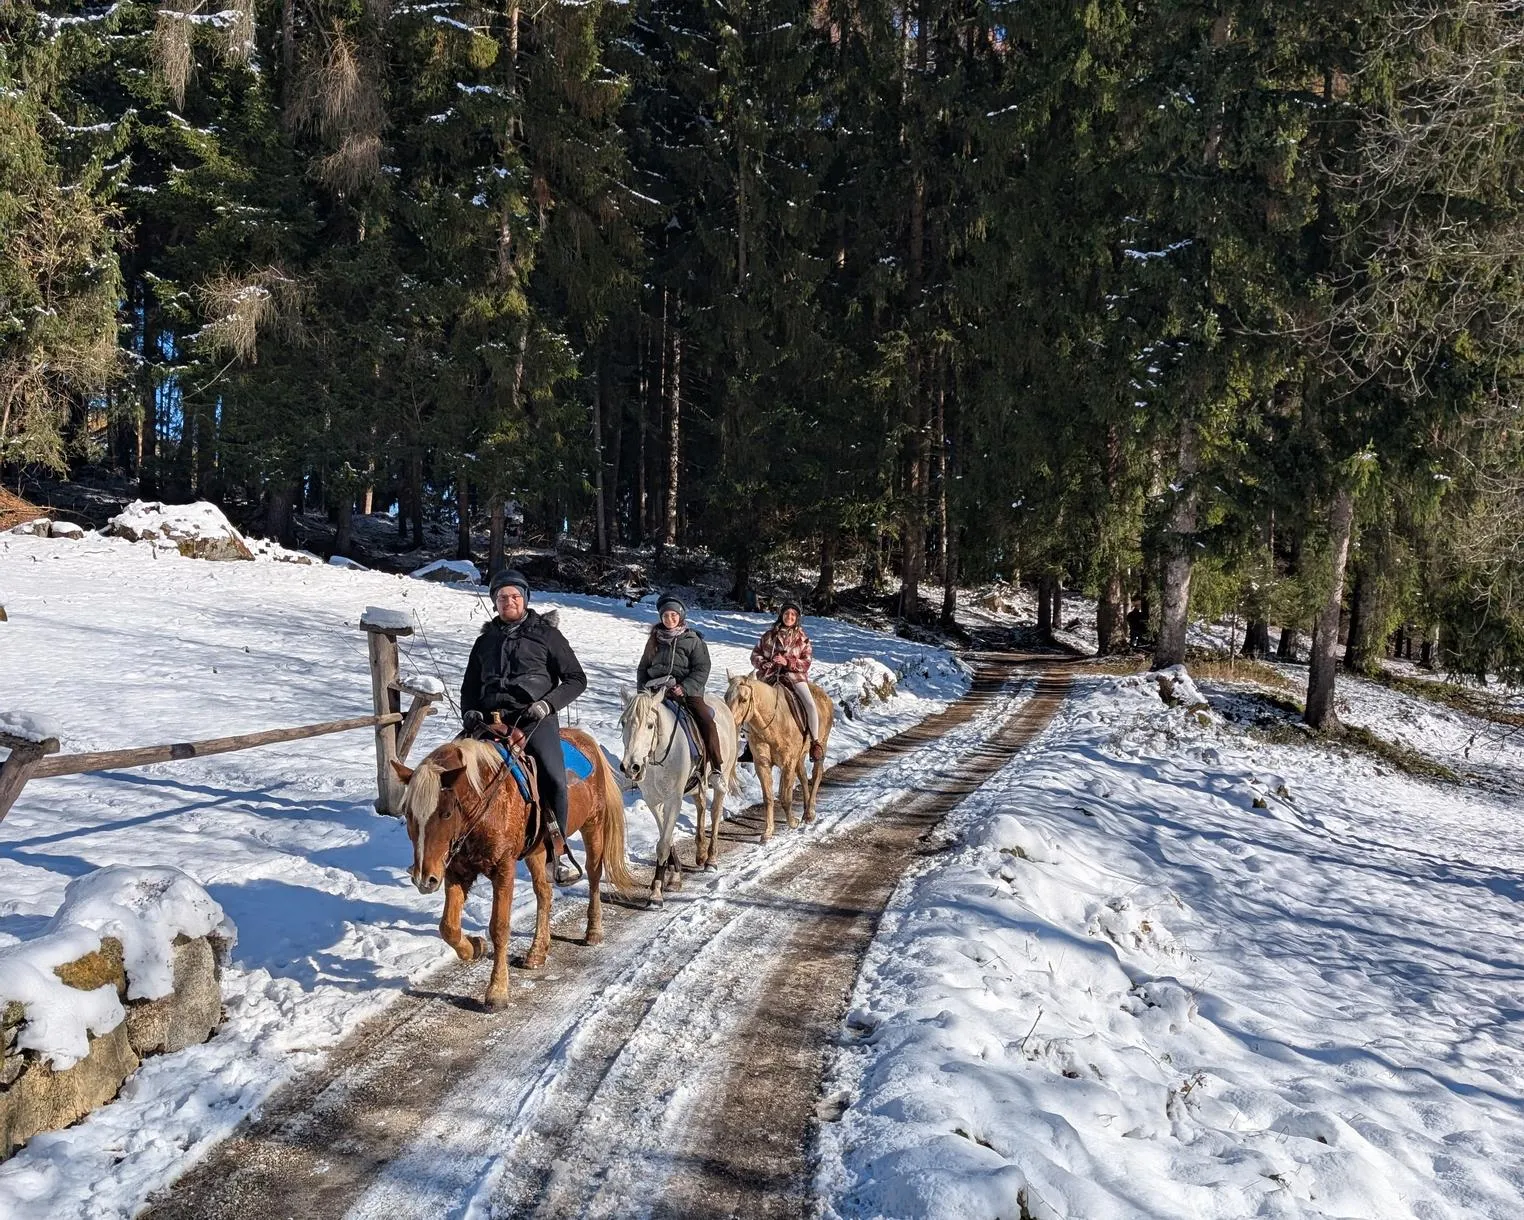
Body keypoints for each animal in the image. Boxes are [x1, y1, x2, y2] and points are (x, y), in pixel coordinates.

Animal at [391, 728, 635, 1009]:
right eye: (408, 814)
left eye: (446, 813)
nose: (423, 879)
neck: (485, 805)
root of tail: (586, 739)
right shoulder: (455, 871)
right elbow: (448, 927)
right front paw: (475, 947)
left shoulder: (503, 869)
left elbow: (499, 927)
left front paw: (497, 991)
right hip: (538, 851)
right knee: (544, 893)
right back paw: (537, 952)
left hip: (592, 825)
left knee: (594, 875)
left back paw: (593, 931)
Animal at [618, 687, 739, 905]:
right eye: (624, 722)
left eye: (650, 725)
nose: (631, 766)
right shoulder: (653, 801)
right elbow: (665, 838)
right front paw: (674, 877)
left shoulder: (673, 799)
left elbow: (663, 843)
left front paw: (656, 893)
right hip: (697, 787)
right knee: (701, 807)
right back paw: (700, 854)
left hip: (721, 778)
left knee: (715, 812)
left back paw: (711, 859)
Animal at [724, 673, 834, 842]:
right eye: (726, 697)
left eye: (743, 699)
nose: (729, 721)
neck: (773, 725)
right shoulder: (762, 764)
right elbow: (769, 797)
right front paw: (768, 832)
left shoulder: (788, 763)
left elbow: (785, 797)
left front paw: (793, 822)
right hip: (799, 757)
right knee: (803, 777)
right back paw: (805, 810)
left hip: (821, 746)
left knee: (816, 776)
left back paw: (810, 813)